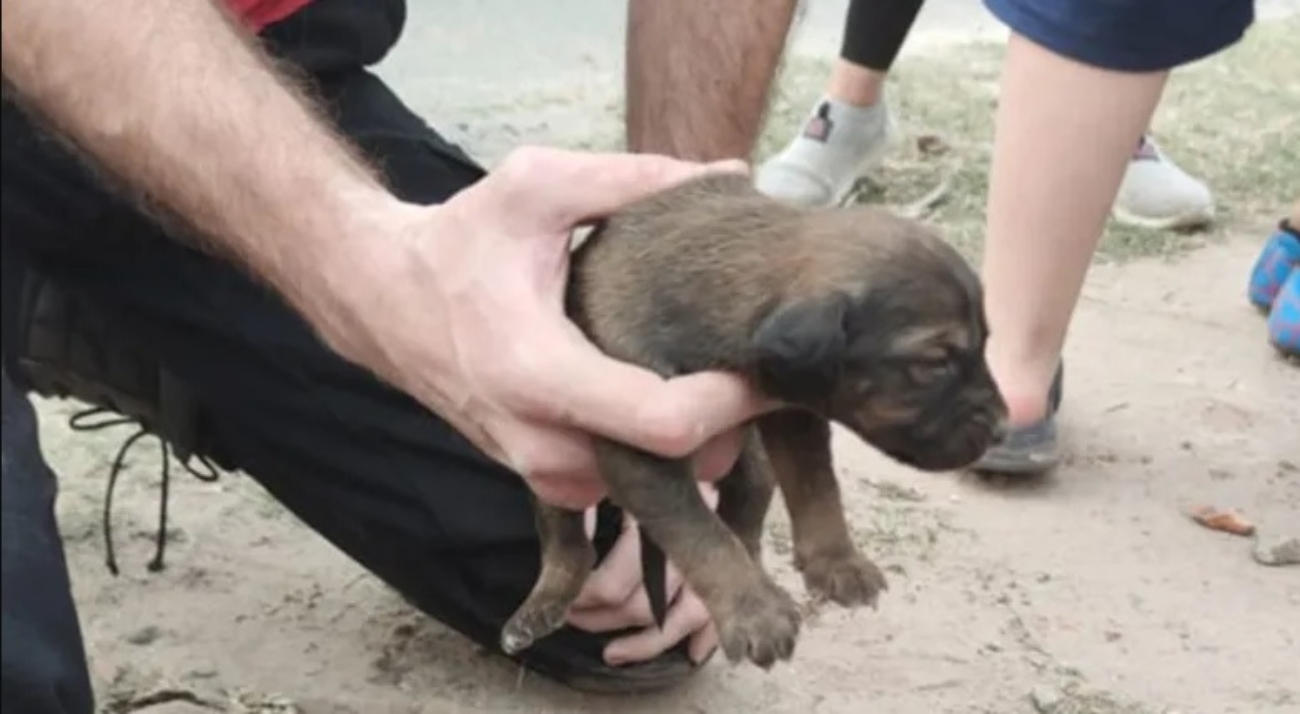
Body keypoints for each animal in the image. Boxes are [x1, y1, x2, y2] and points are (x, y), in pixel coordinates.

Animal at [493, 171, 1003, 665]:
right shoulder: (641, 451)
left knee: (746, 523)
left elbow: (818, 489)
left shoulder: (792, 412)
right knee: (568, 542)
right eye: (934, 363)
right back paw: (540, 605)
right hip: (552, 482)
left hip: (753, 466)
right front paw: (754, 614)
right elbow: (703, 535)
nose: (1002, 426)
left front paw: (837, 562)